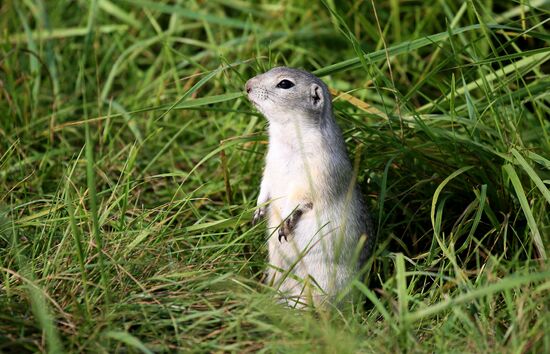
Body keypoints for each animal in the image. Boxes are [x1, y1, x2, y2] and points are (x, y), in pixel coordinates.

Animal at [247, 67, 374, 306]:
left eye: (285, 84)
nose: (247, 85)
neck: (286, 137)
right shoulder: (271, 164)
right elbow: (265, 184)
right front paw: (258, 209)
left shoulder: (317, 170)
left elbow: (301, 197)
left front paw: (286, 221)